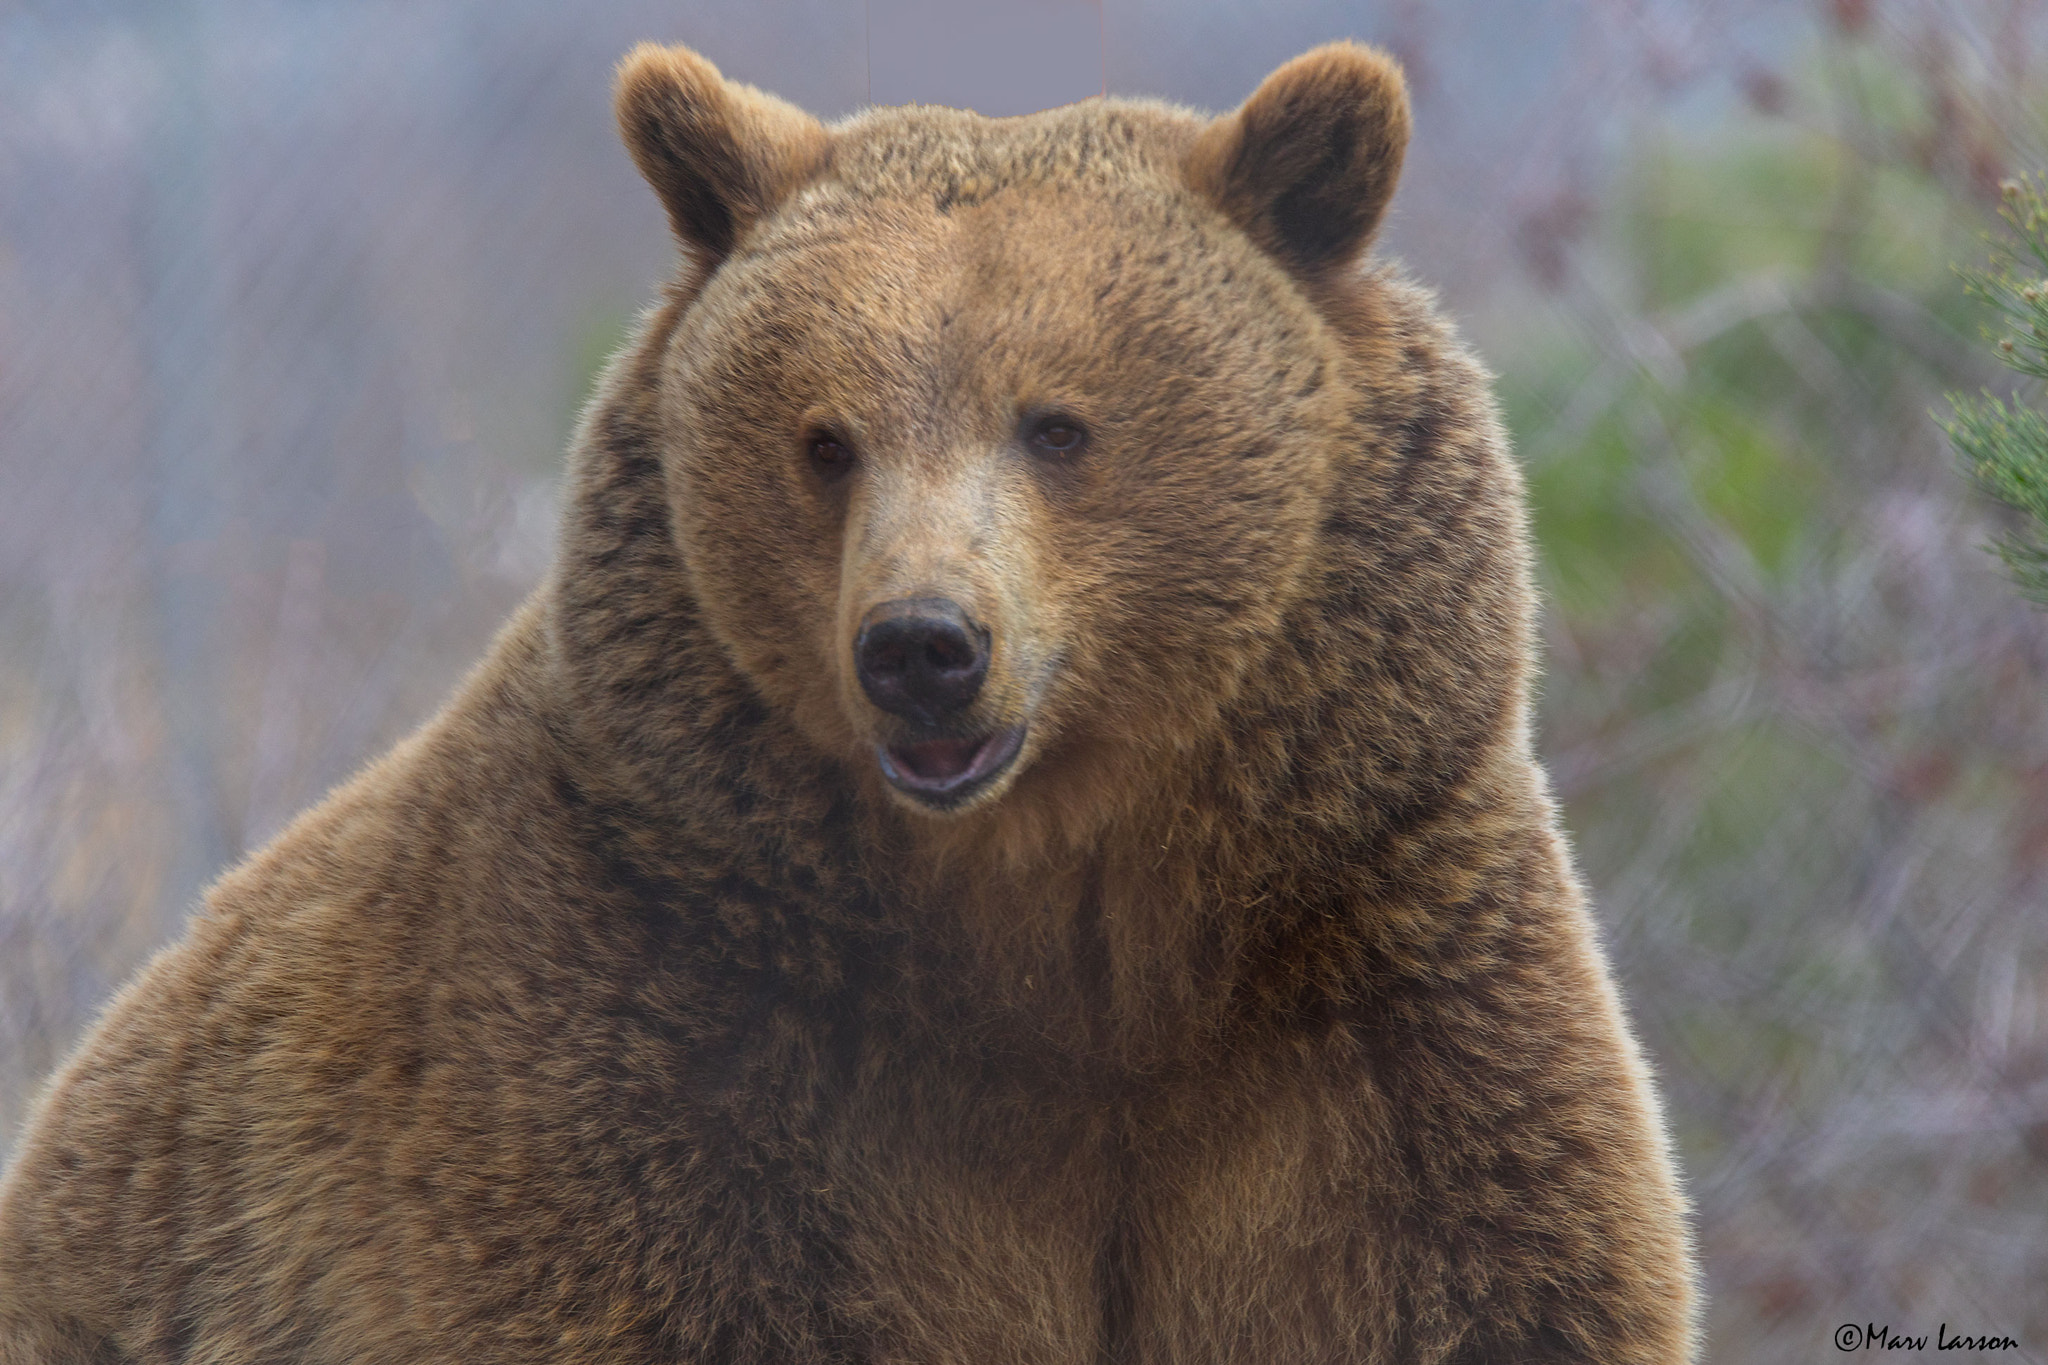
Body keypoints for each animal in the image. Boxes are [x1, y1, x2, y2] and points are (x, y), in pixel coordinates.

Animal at [0, 40, 1698, 1364]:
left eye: (1057, 423)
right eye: (825, 439)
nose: (922, 643)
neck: (1068, 927)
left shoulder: (1362, 1009)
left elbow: (1470, 1271)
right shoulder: (670, 1050)